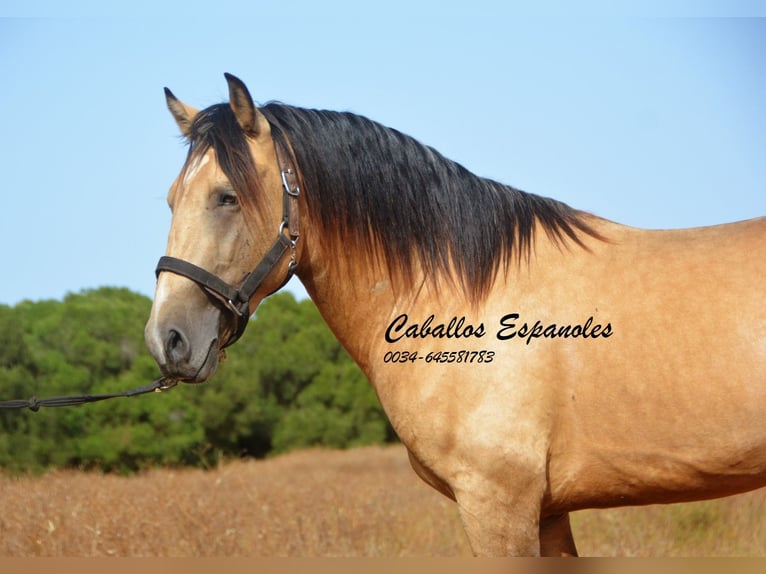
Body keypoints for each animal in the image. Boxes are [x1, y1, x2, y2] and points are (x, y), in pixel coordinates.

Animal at [146, 74, 766, 556]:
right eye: (171, 199)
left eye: (226, 197)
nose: (165, 340)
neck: (464, 301)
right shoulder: (546, 512)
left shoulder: (498, 506)